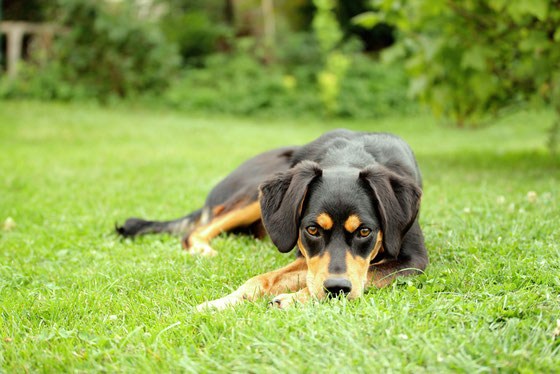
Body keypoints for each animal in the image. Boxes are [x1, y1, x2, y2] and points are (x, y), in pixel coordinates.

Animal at [115, 129, 428, 310]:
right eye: (312, 229)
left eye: (365, 231)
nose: (337, 289)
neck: (348, 158)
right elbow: (264, 278)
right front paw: (224, 301)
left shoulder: (414, 261)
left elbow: (364, 275)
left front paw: (295, 298)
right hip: (259, 186)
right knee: (194, 232)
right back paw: (203, 249)